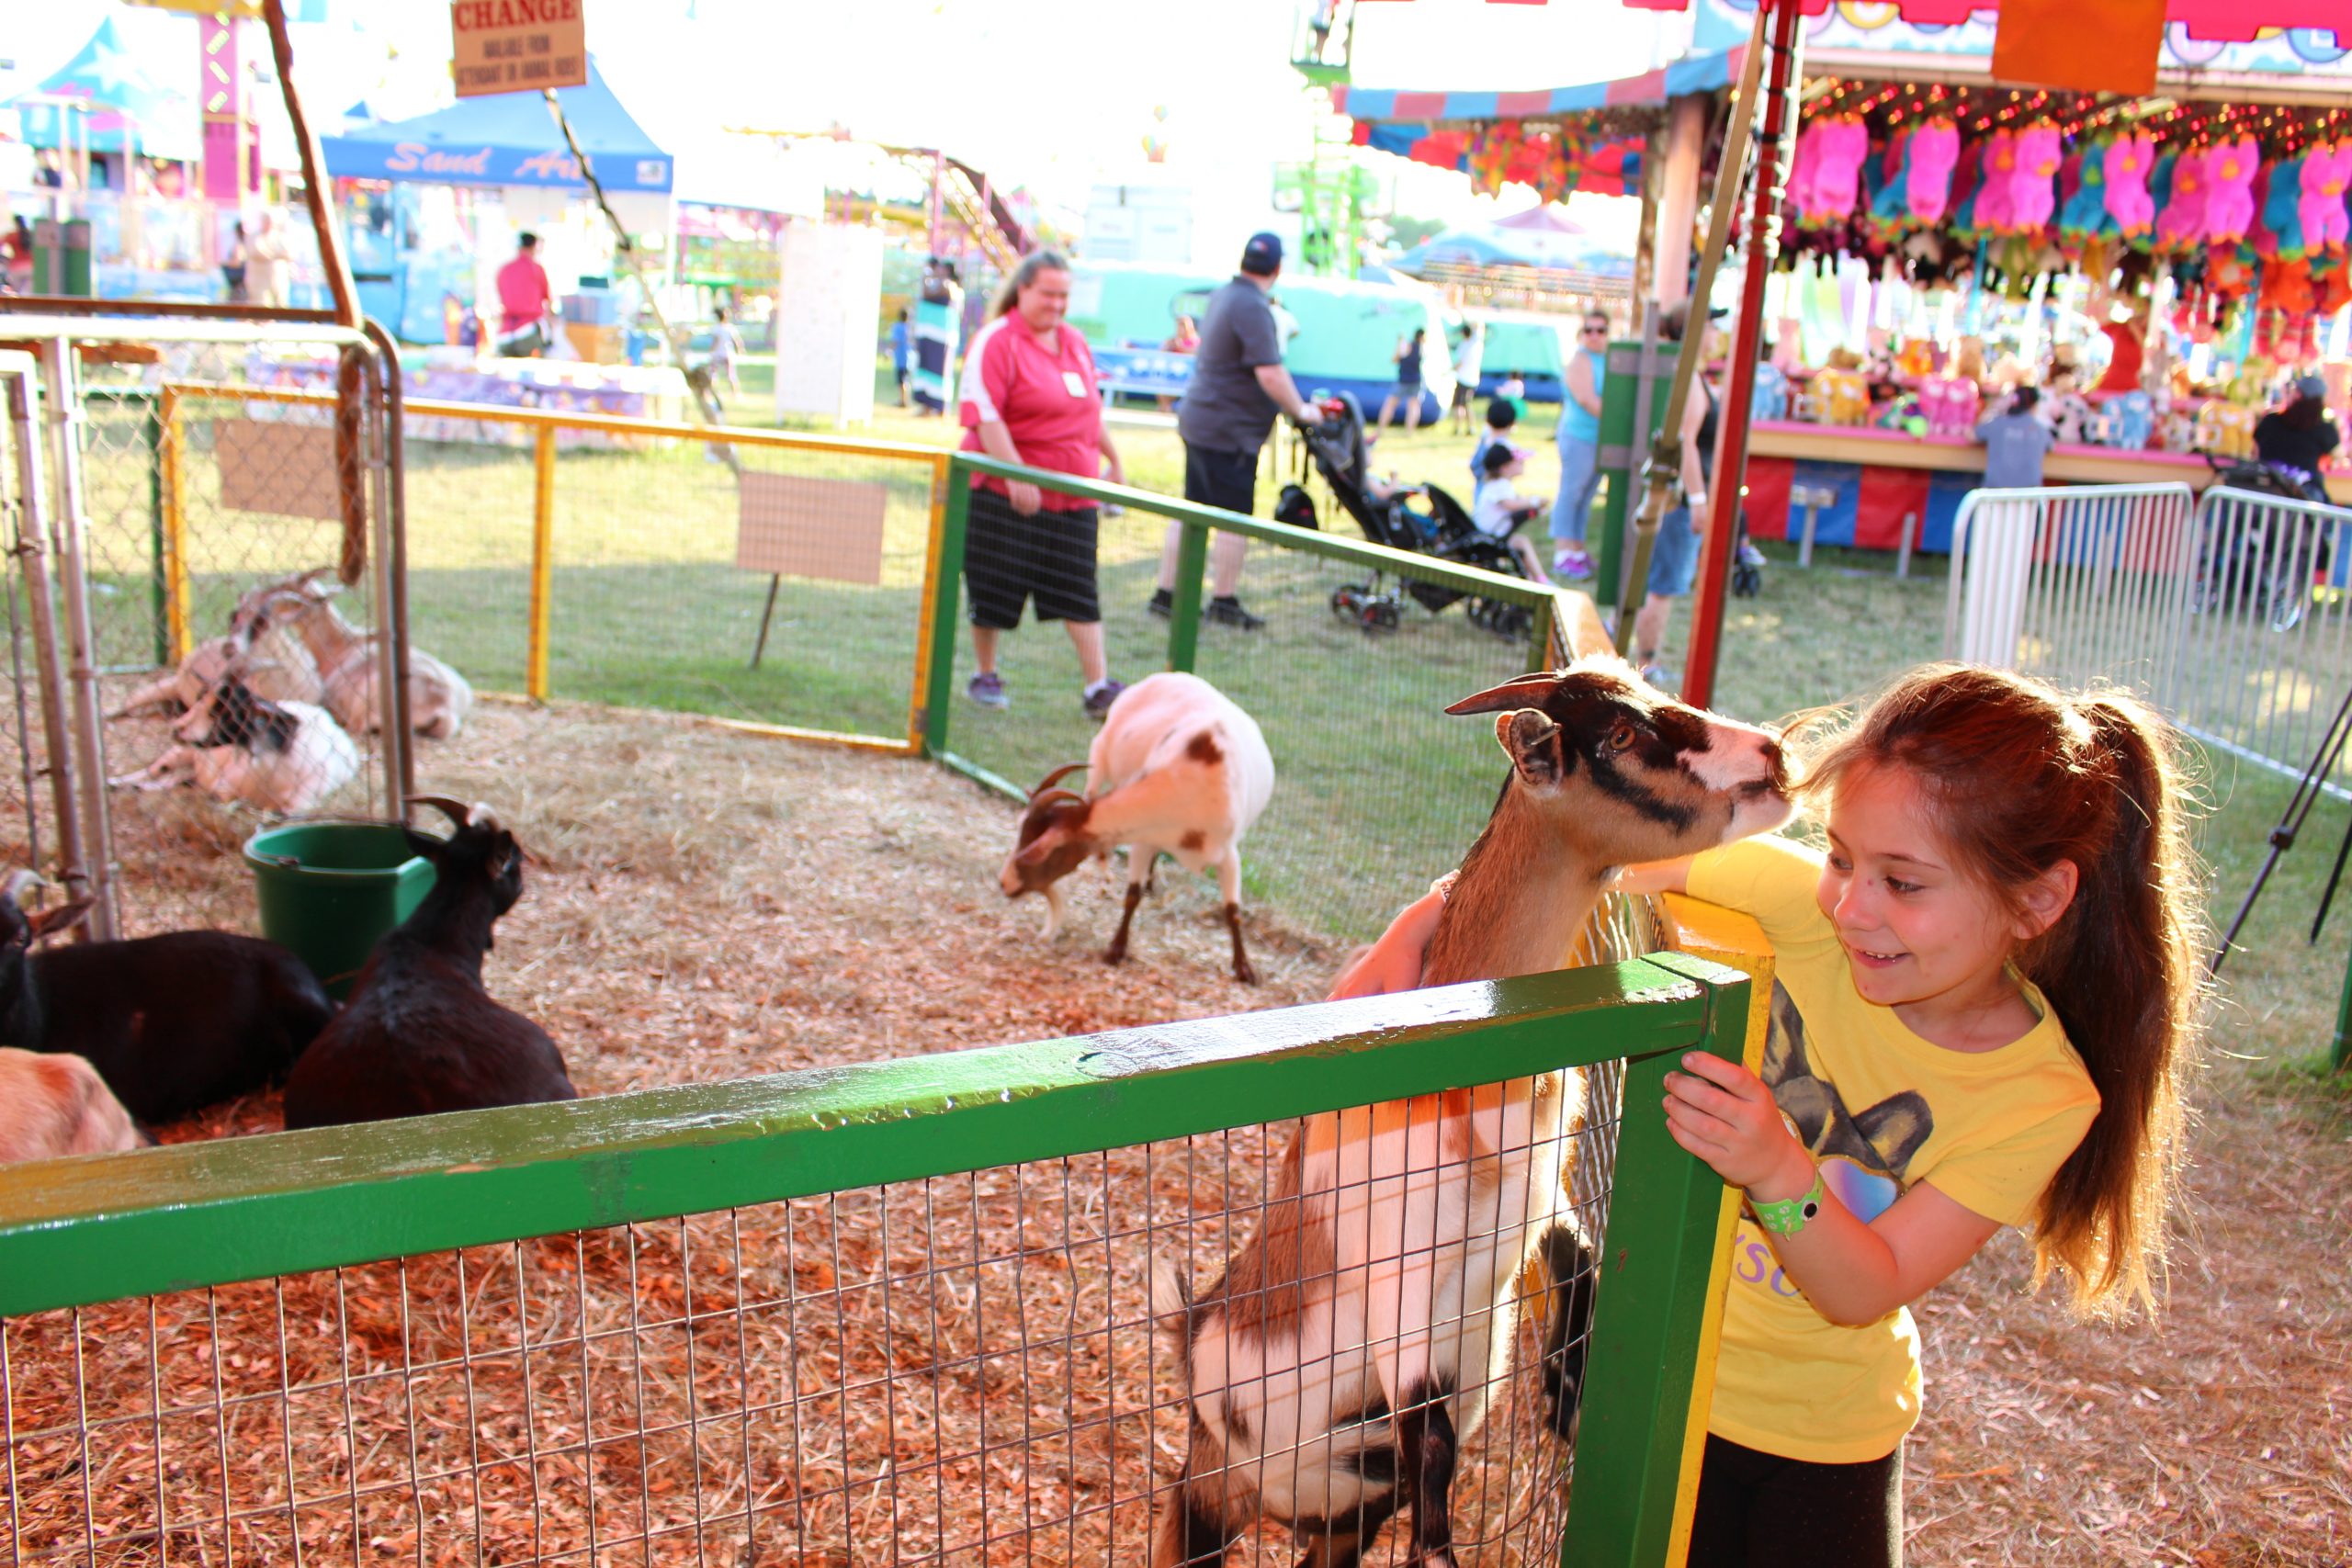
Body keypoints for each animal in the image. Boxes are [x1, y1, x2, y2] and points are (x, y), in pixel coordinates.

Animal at [1001, 671, 1279, 982]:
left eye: (1035, 853)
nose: (1004, 883)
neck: (1190, 783)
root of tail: (1165, 676)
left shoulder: (1228, 853)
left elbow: (1233, 910)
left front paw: (1245, 970)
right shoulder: (1143, 838)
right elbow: (1131, 895)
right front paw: (1115, 950)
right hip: (1099, 757)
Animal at [1148, 658, 1787, 1568]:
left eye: (1645, 686)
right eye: (1620, 732)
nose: (1771, 753)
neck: (1469, 1102)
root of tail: (1192, 1323)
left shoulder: (1532, 1202)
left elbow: (1580, 1256)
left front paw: (1566, 1392)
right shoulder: (1398, 1274)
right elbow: (1435, 1436)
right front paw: (1442, 1549)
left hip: (1343, 1514)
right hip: (1207, 1495)